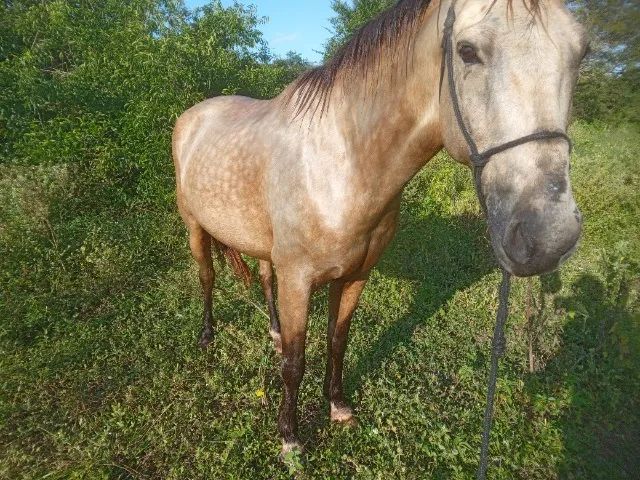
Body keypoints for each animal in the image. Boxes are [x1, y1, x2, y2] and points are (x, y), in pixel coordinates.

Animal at [172, 0, 588, 458]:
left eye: (582, 52)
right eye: (467, 51)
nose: (549, 236)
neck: (341, 164)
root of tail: (193, 115)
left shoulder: (356, 275)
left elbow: (337, 341)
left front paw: (337, 406)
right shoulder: (298, 280)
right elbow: (295, 362)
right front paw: (290, 437)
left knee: (264, 277)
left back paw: (274, 332)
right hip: (194, 227)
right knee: (207, 277)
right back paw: (207, 335)